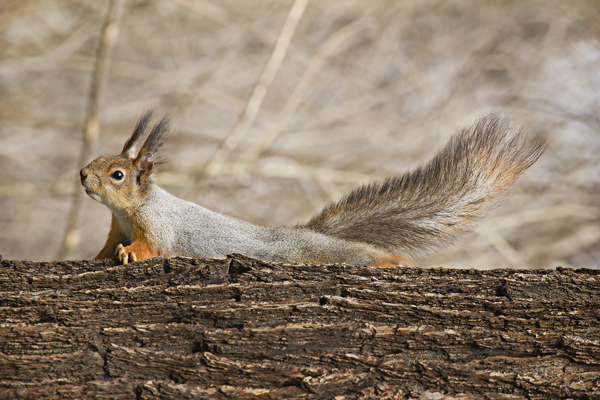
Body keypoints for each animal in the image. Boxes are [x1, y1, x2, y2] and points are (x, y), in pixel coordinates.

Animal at [78, 111, 544, 268]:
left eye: (117, 174)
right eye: (99, 161)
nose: (82, 174)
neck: (128, 211)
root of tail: (307, 235)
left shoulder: (158, 225)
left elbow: (151, 247)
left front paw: (129, 254)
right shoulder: (116, 226)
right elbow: (104, 249)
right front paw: (100, 255)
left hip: (333, 255)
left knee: (366, 257)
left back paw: (393, 262)